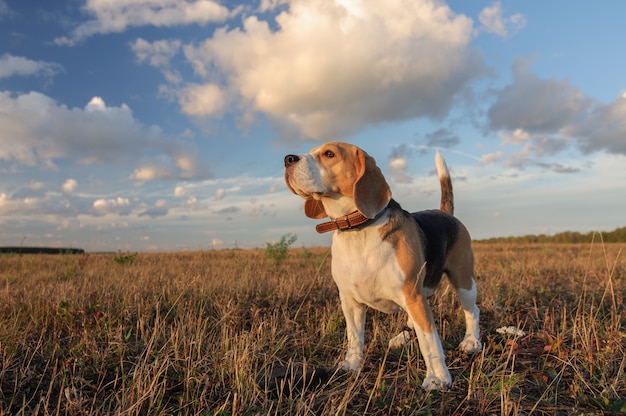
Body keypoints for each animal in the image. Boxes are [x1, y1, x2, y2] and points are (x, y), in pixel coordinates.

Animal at [284, 141, 482, 388]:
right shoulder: (350, 300)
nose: (287, 159)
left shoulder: (412, 294)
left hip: (462, 280)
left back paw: (471, 342)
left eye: (329, 154)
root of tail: (445, 213)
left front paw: (437, 377)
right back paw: (402, 337)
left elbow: (429, 340)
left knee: (472, 310)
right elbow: (355, 336)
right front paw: (352, 364)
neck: (357, 229)